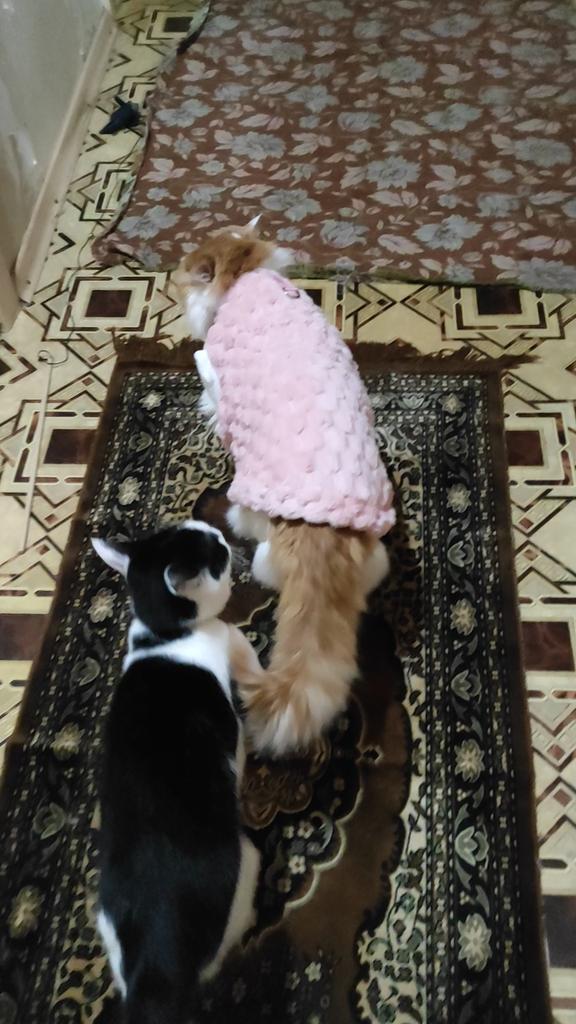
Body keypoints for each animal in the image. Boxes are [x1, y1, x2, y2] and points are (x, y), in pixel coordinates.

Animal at [91, 519, 262, 1024]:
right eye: (218, 557)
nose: (223, 536)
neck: (164, 637)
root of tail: (156, 972)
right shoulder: (232, 642)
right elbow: (256, 670)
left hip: (108, 925)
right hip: (246, 862)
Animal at [175, 220, 395, 758]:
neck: (245, 274)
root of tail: (325, 535)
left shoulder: (212, 365)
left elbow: (207, 383)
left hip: (253, 532)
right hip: (378, 554)